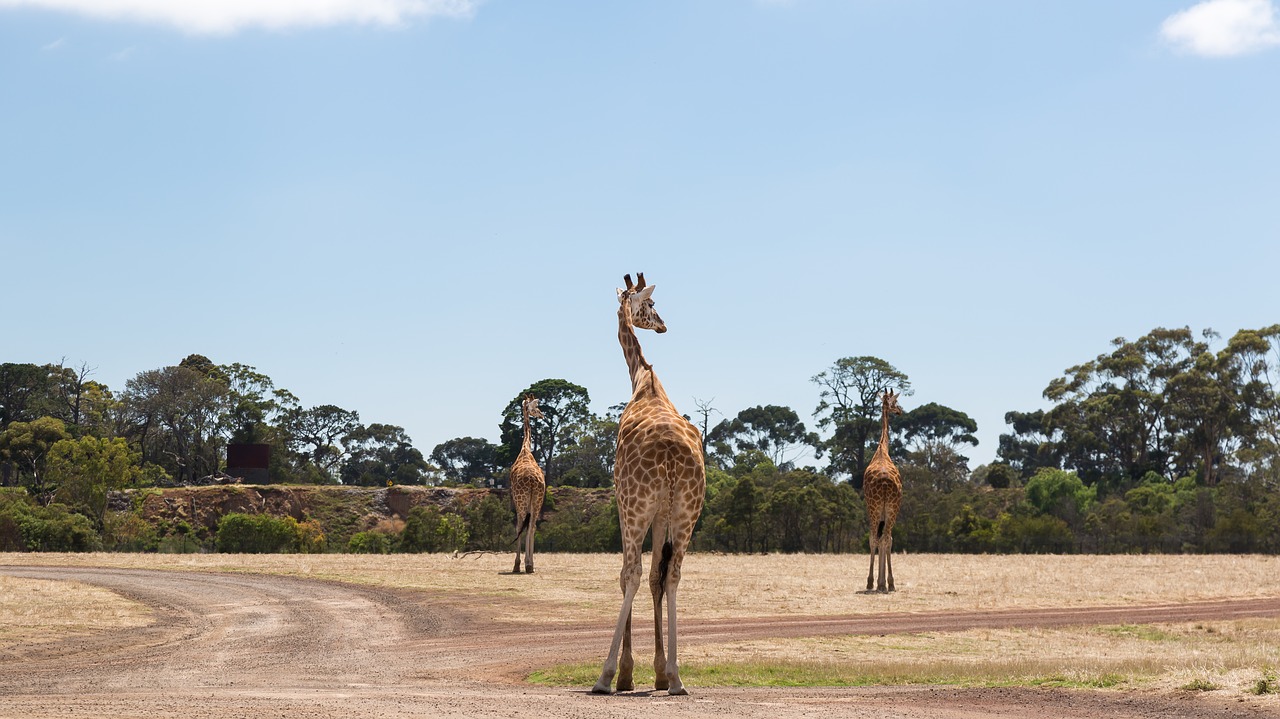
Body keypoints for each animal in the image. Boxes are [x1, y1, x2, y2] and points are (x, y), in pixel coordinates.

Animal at [591, 271, 706, 690]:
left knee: (634, 573)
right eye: (653, 304)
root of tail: (672, 458)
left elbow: (627, 576)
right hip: (687, 513)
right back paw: (675, 677)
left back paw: (605, 675)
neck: (645, 379)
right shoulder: (663, 515)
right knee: (671, 575)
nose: (663, 325)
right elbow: (658, 577)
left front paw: (626, 673)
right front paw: (657, 670)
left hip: (637, 507)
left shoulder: (624, 504)